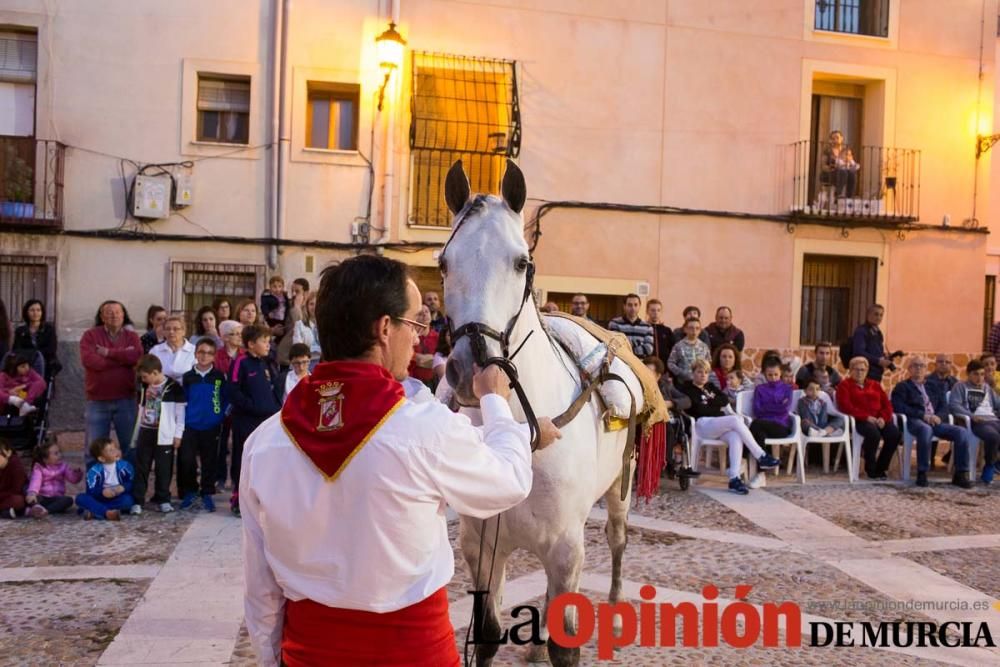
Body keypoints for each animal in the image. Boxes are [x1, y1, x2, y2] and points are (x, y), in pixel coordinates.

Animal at [438, 159, 640, 664]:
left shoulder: (567, 550)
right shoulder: (481, 547)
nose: (471, 366)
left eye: (521, 262)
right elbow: (488, 632)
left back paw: (614, 607)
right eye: (443, 263)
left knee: (618, 540)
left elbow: (566, 647)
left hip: (619, 491)